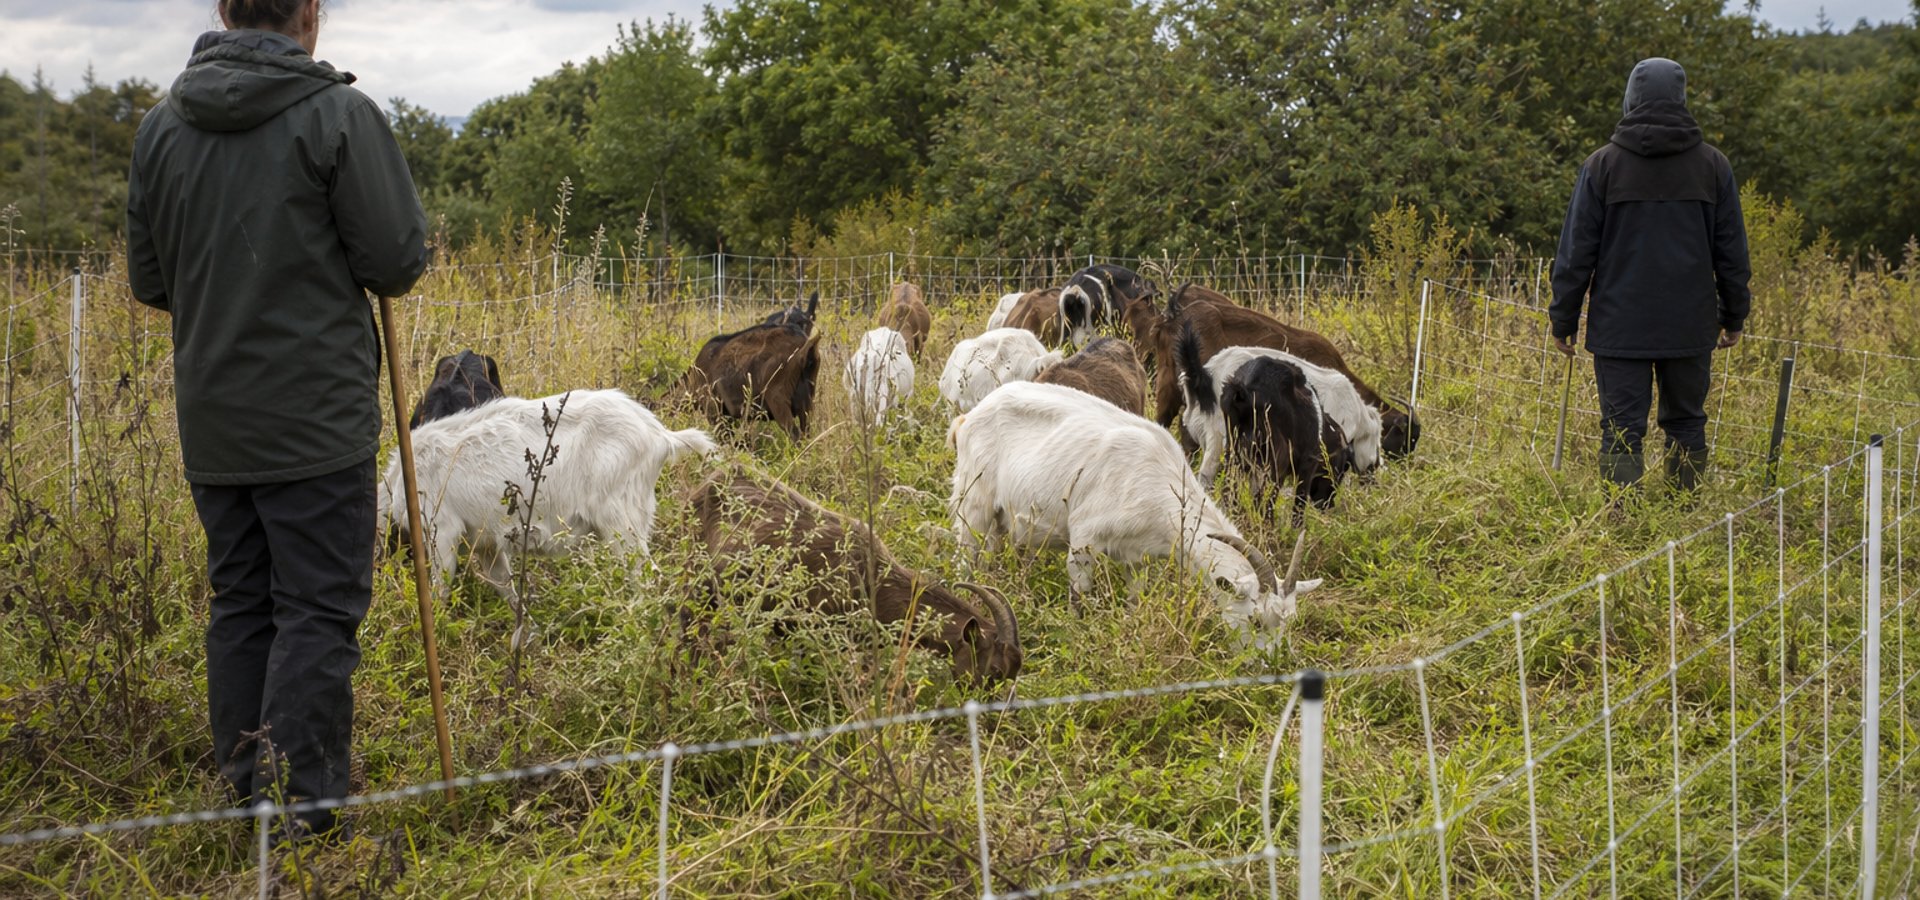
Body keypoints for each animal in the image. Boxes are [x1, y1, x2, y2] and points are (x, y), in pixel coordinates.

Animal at [377, 388, 716, 603]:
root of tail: (661, 436)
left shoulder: (441, 529)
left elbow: (441, 585)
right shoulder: (487, 542)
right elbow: (503, 583)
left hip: (620, 518)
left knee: (645, 576)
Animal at [681, 293, 823, 441]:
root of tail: (806, 346)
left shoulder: (713, 408)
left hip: (778, 399)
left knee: (795, 434)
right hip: (806, 403)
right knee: (806, 434)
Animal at [948, 381, 1322, 649]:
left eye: (1290, 621)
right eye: (1257, 620)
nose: (1270, 662)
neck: (1163, 486)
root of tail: (969, 417)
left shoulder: (1136, 557)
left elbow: (1135, 598)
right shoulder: (1083, 539)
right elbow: (1079, 596)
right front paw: (1075, 635)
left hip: (999, 518)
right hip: (973, 501)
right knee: (966, 554)